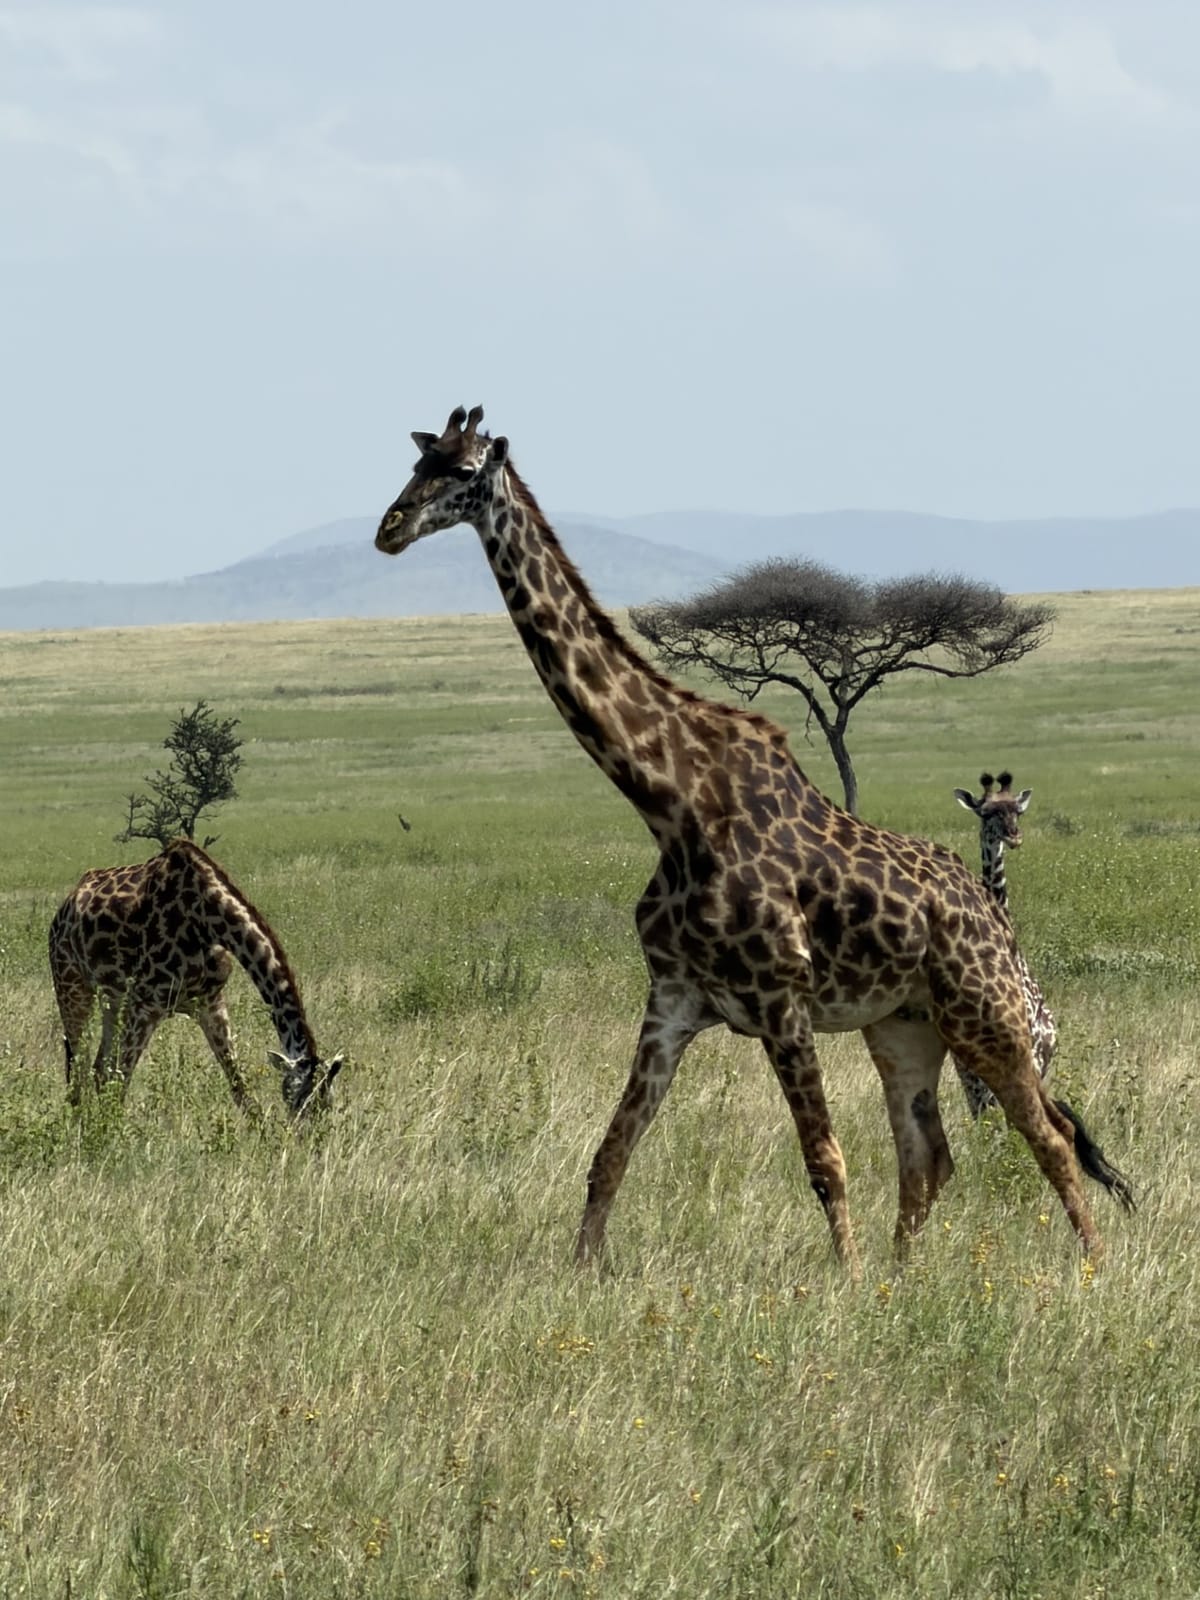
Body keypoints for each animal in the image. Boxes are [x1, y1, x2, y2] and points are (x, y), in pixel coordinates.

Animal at [49, 838, 342, 1119]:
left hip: (112, 999)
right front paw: (107, 1135)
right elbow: (120, 1081)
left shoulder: (209, 1001)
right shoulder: (145, 1006)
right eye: (298, 1099)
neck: (207, 919)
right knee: (80, 1069)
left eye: (327, 1104)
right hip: (71, 984)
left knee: (98, 1068)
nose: (306, 1134)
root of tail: (65, 907)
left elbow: (239, 1087)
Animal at [375, 405, 1110, 1271]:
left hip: (983, 1014)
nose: (390, 528)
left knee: (1050, 1135)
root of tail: (994, 919)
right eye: (416, 463)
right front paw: (581, 1272)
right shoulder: (672, 999)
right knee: (929, 1154)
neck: (669, 802)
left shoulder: (782, 1000)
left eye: (461, 472)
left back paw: (1093, 1267)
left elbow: (825, 1161)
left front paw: (844, 1282)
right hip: (903, 1024)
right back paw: (903, 1273)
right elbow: (610, 1153)